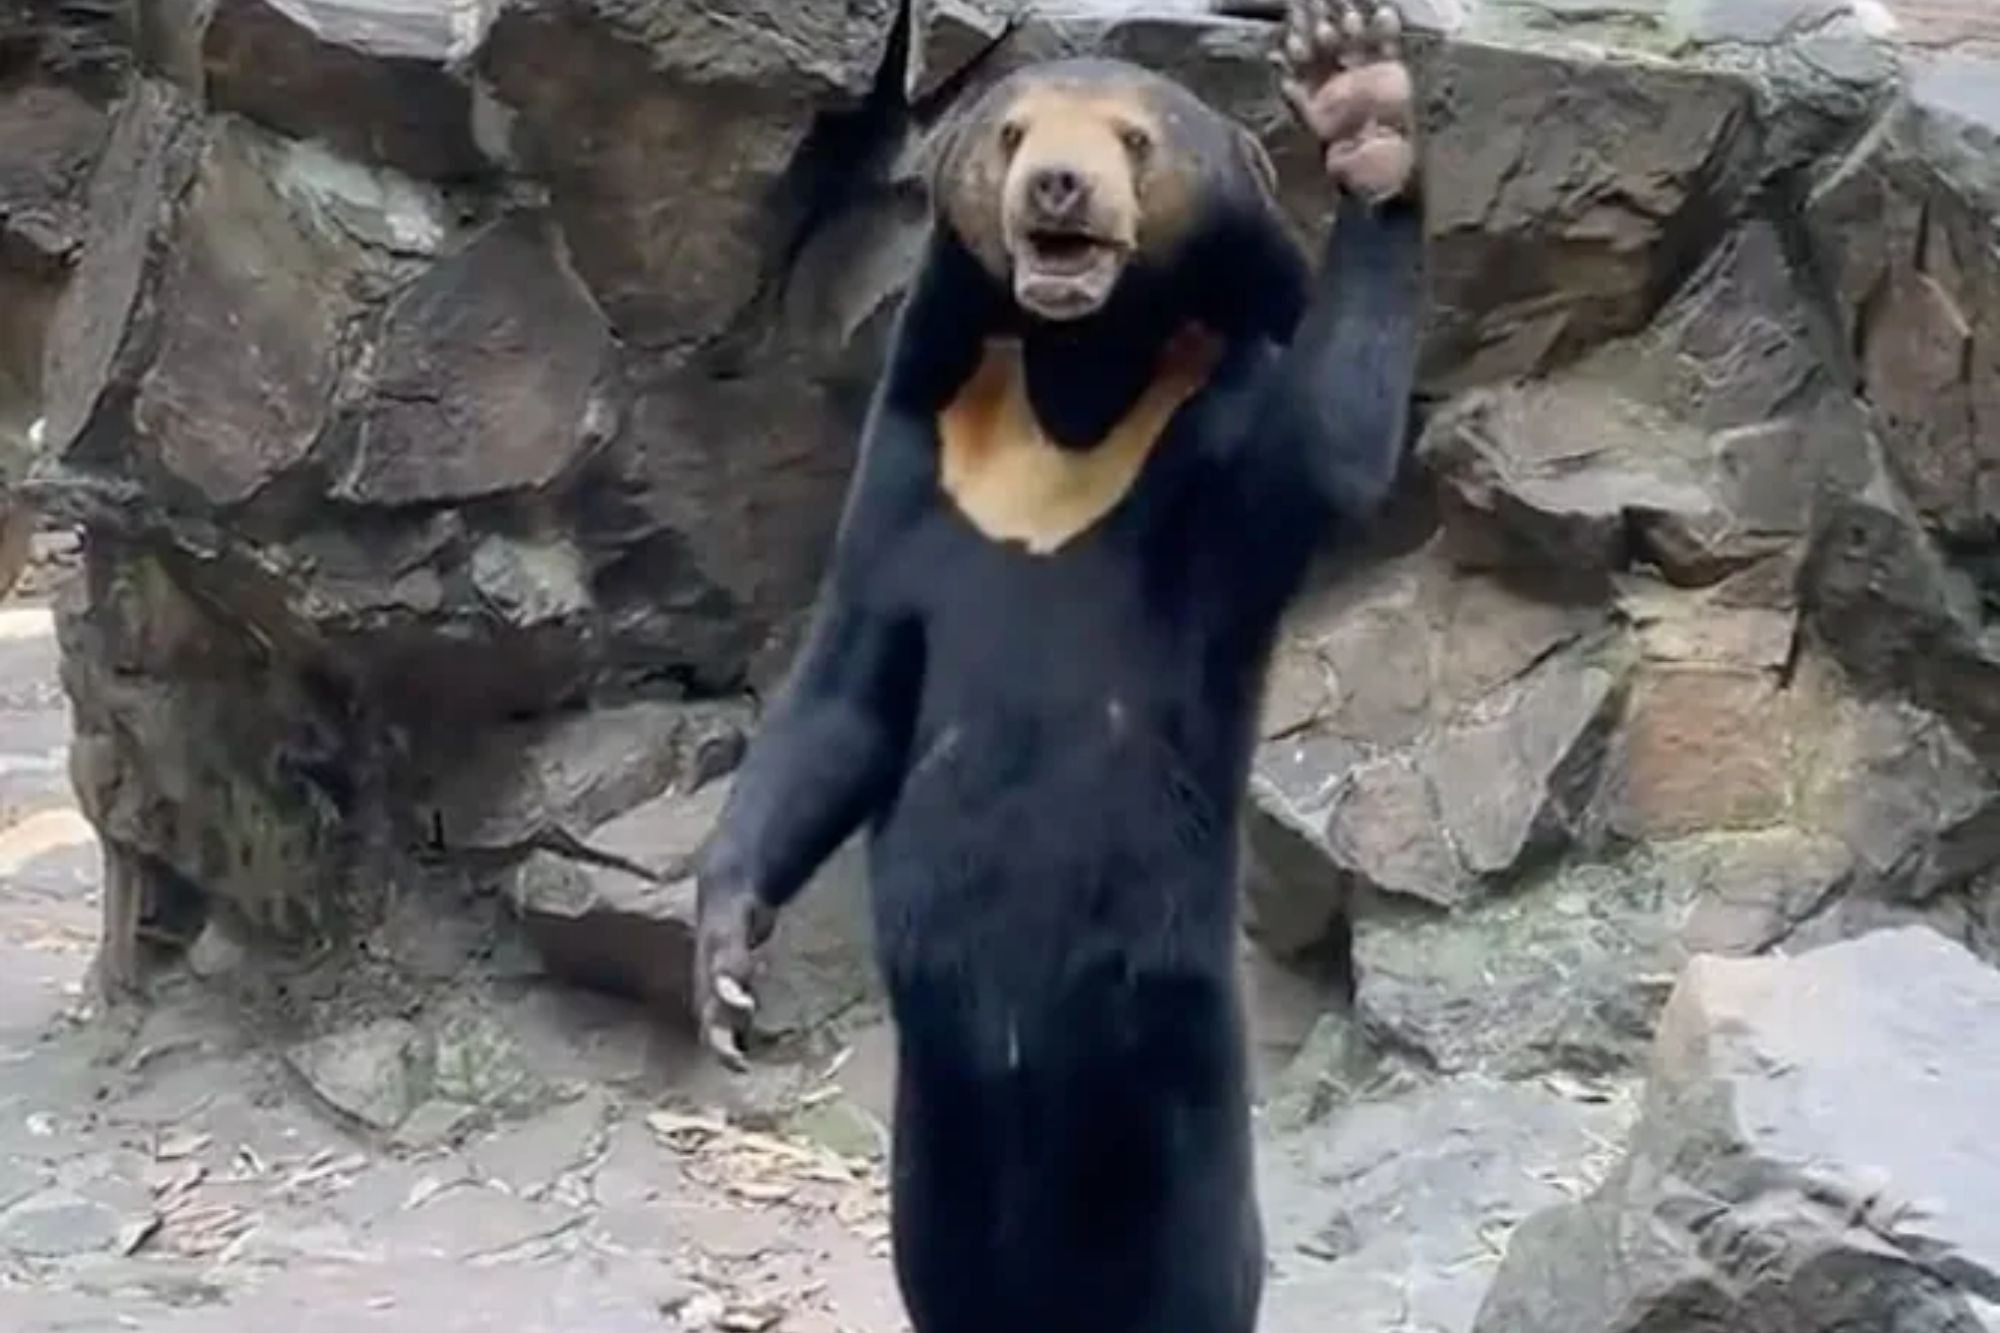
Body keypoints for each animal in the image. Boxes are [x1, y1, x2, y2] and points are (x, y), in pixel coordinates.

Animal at [696, 5, 1432, 1320]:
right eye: (1011, 130)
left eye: (1134, 139)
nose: (1056, 186)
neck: (1068, 388)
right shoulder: (920, 461)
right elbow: (846, 691)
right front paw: (724, 973)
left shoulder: (1219, 437)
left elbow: (1331, 447)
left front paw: (1361, 103)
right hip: (936, 1109)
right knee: (944, 1256)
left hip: (1169, 1066)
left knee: (1193, 1263)